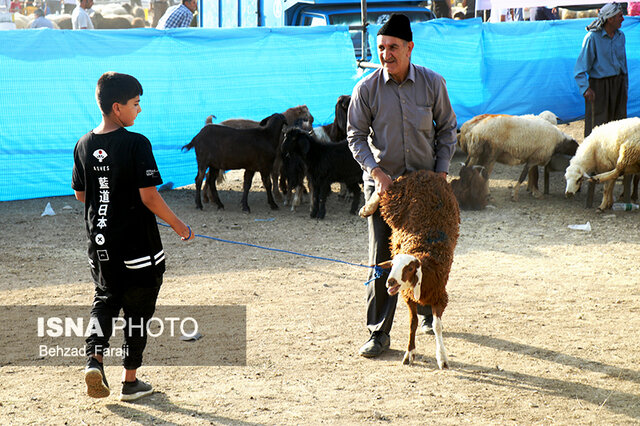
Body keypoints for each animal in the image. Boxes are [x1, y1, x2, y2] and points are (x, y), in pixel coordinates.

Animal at [360, 171, 460, 368]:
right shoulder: (408, 298)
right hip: (394, 203)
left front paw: (442, 357)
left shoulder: (439, 296)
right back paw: (367, 207)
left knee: (386, 187)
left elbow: (437, 326)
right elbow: (412, 323)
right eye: (392, 266)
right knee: (384, 187)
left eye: (409, 268)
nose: (390, 281)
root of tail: (422, 173)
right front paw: (409, 353)